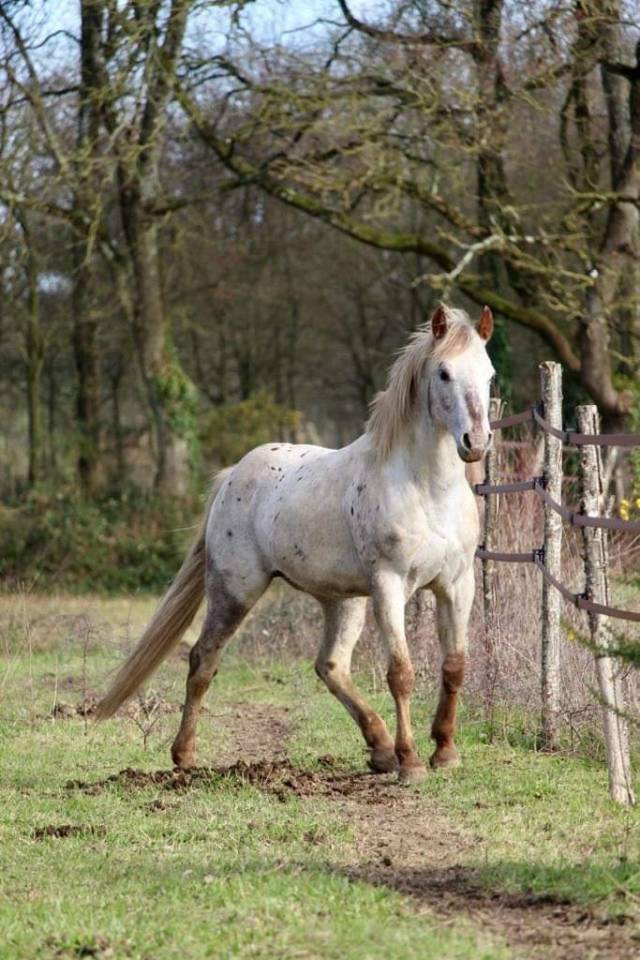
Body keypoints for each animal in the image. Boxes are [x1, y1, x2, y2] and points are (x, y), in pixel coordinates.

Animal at [96, 303, 495, 784]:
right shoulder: (390, 584)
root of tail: (232, 476)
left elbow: (454, 666)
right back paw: (185, 756)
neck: (428, 488)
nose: (476, 442)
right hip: (235, 591)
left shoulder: (456, 584)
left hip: (343, 600)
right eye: (444, 373)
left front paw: (446, 752)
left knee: (330, 666)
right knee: (203, 659)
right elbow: (401, 672)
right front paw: (413, 762)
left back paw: (379, 749)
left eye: (489, 374)